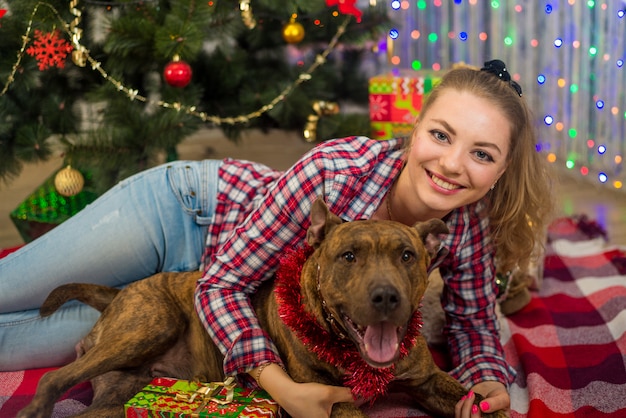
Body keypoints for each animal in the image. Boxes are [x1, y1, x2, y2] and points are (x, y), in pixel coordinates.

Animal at [19, 199, 504, 418]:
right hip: (148, 325)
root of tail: (118, 293)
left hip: (122, 389)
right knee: (54, 377)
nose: (386, 297)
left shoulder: (428, 380)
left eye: (407, 256)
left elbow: (488, 405)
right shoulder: (328, 401)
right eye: (348, 256)